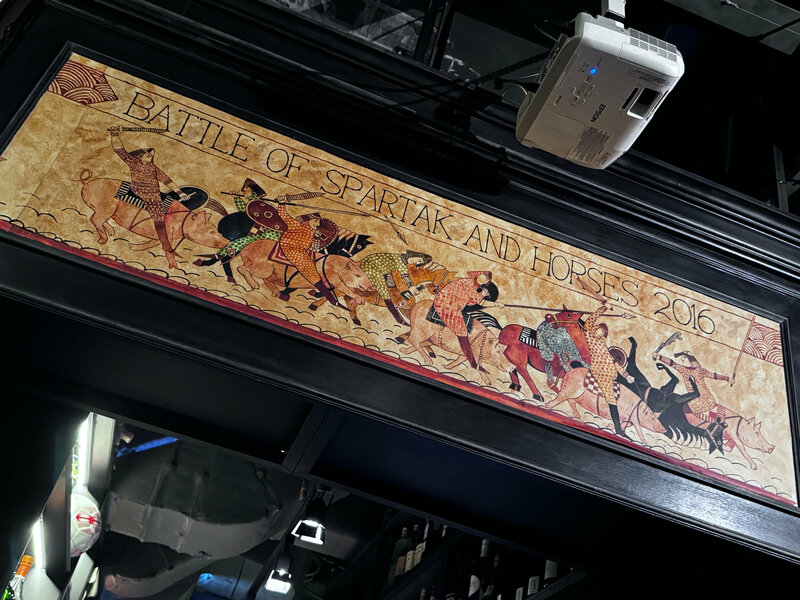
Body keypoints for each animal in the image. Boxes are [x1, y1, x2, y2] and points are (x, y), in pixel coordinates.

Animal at [80, 175, 228, 269]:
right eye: (211, 231)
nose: (227, 242)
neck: (182, 221)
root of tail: (86, 183)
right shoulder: (166, 231)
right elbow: (167, 249)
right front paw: (174, 267)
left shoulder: (161, 235)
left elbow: (153, 243)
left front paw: (132, 247)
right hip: (106, 208)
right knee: (95, 219)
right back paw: (103, 240)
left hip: (106, 210)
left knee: (97, 219)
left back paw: (111, 232)